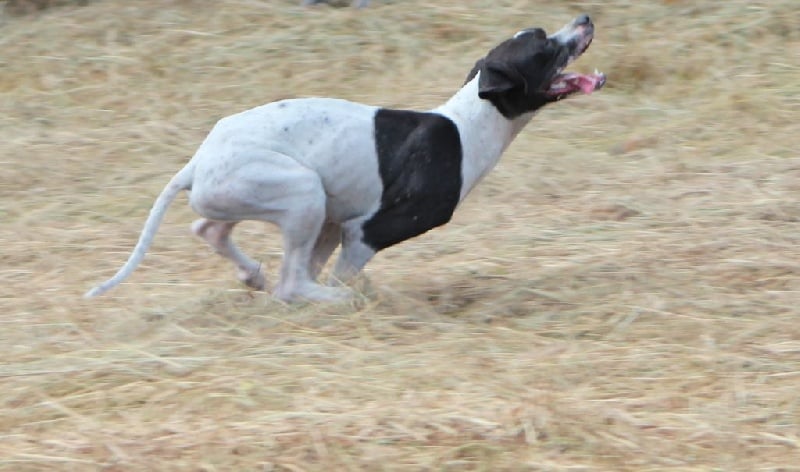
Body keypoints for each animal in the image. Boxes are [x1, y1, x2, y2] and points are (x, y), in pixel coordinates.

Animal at [86, 13, 608, 302]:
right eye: (543, 47)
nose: (584, 18)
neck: (467, 123)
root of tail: (196, 163)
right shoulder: (366, 231)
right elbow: (337, 277)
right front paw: (353, 298)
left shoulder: (336, 227)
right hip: (302, 194)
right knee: (291, 285)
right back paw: (327, 301)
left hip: (278, 204)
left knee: (211, 231)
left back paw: (252, 274)